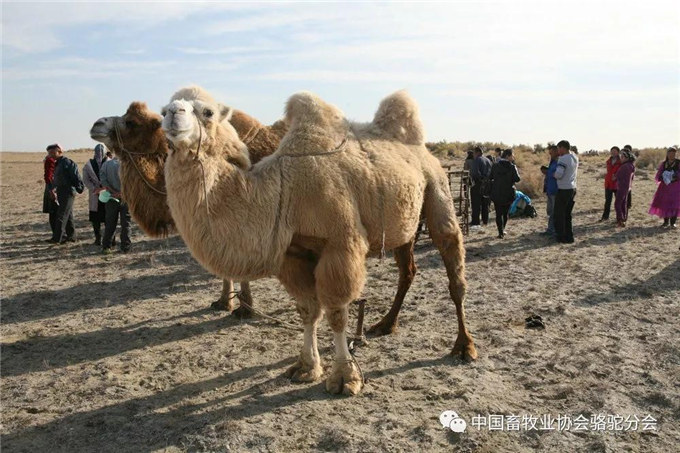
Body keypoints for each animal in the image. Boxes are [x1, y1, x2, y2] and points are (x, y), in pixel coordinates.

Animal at [87, 99, 422, 332]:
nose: (96, 124)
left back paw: (385, 323)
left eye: (130, 122)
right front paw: (223, 301)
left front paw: (243, 306)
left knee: (407, 268)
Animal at [161, 85, 476, 396]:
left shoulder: (341, 244)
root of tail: (423, 150)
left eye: (208, 112)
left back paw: (464, 346)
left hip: (437, 187)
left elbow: (336, 313)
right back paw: (386, 324)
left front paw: (345, 377)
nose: (173, 114)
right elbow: (308, 310)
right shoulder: (293, 254)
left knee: (453, 267)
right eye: (163, 110)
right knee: (407, 270)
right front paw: (306, 367)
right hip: (404, 225)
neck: (284, 191)